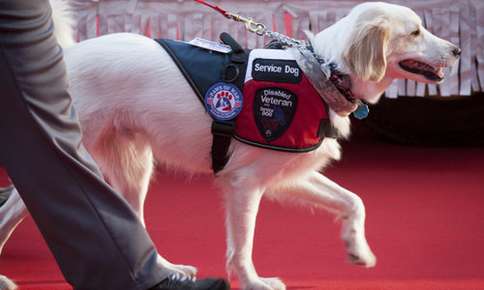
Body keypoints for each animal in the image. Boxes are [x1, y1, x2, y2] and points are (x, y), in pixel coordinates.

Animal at [0, 2, 462, 290]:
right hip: (65, 153)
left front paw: (357, 248)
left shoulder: (285, 173)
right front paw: (254, 281)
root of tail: (67, 56)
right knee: (11, 210)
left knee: (131, 224)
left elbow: (354, 201)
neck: (320, 72)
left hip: (132, 169)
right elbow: (242, 245)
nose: (458, 50)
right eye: (415, 31)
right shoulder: (245, 184)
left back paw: (168, 271)